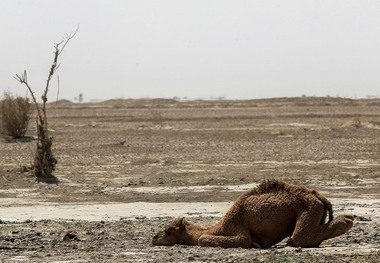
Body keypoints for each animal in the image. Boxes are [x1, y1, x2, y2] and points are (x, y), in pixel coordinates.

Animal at [151, 179, 354, 250]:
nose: (154, 238)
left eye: (168, 230)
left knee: (300, 237)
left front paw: (255, 244)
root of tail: (318, 196)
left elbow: (203, 239)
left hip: (308, 208)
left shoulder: (238, 229)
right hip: (314, 209)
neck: (220, 227)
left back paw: (348, 219)